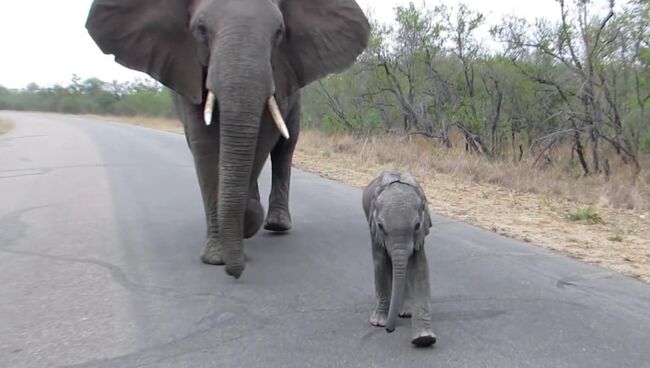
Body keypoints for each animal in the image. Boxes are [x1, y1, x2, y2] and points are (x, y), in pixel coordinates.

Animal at [85, 0, 368, 276]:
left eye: (279, 32)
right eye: (200, 29)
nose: (236, 273)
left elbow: (263, 138)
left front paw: (247, 220)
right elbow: (204, 144)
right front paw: (218, 256)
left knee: (285, 147)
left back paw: (275, 224)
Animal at [360, 171, 436, 346]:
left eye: (417, 225)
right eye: (381, 226)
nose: (390, 330)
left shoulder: (420, 232)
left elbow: (420, 269)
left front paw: (424, 339)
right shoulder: (375, 230)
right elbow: (381, 262)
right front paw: (378, 323)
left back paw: (405, 312)